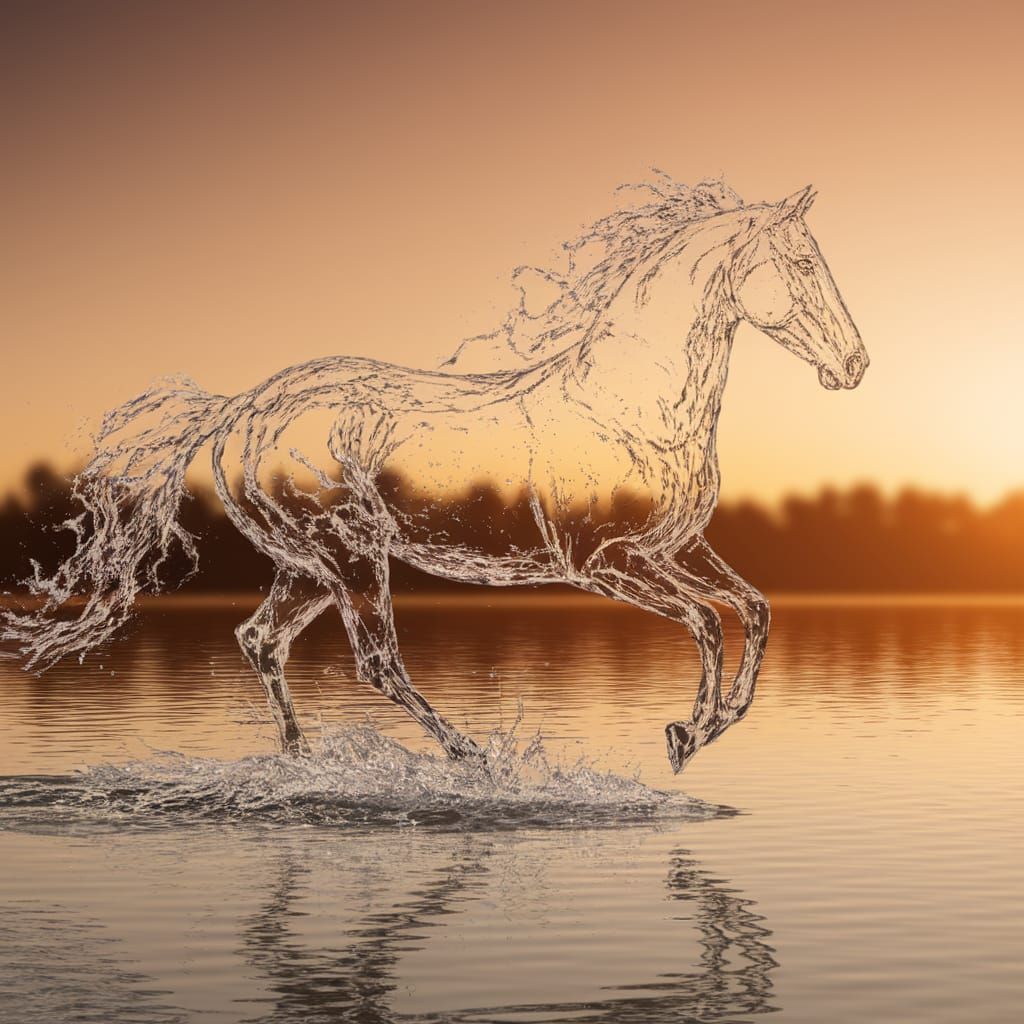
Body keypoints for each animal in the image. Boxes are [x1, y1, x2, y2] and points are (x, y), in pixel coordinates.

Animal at [2, 176, 867, 773]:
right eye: (801, 261)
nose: (855, 365)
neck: (633, 403)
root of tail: (238, 411)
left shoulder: (675, 548)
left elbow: (753, 609)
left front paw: (708, 726)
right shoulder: (603, 562)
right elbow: (707, 623)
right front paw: (684, 735)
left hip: (305, 566)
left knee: (260, 641)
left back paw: (300, 763)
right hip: (350, 555)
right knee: (377, 662)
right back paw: (469, 757)